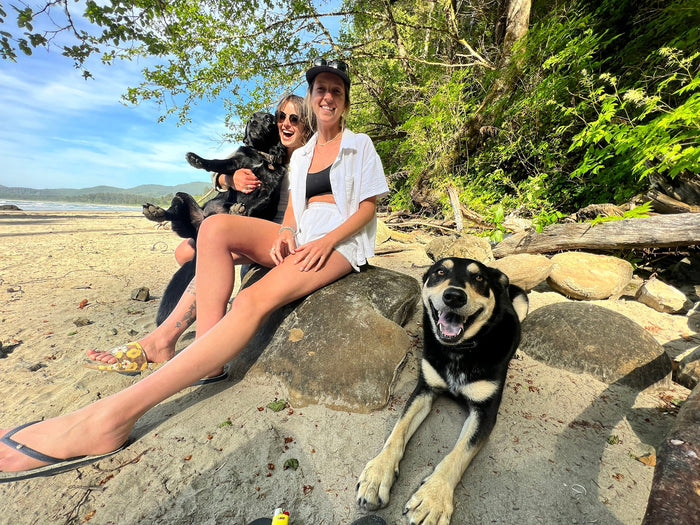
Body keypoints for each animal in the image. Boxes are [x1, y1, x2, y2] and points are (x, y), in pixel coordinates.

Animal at [142, 111, 287, 324]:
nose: (252, 120)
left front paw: (239, 211)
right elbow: (218, 163)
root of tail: (199, 232)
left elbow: (257, 203)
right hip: (181, 197)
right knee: (173, 210)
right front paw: (197, 159)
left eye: (268, 119)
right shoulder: (235, 164)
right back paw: (156, 212)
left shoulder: (270, 187)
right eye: (253, 116)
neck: (261, 154)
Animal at [356, 257, 528, 525]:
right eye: (439, 271)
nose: (454, 296)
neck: (458, 351)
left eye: (479, 278)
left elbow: (458, 455)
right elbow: (398, 431)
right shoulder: (425, 389)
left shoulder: (486, 411)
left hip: (521, 299)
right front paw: (378, 474)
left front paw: (433, 498)